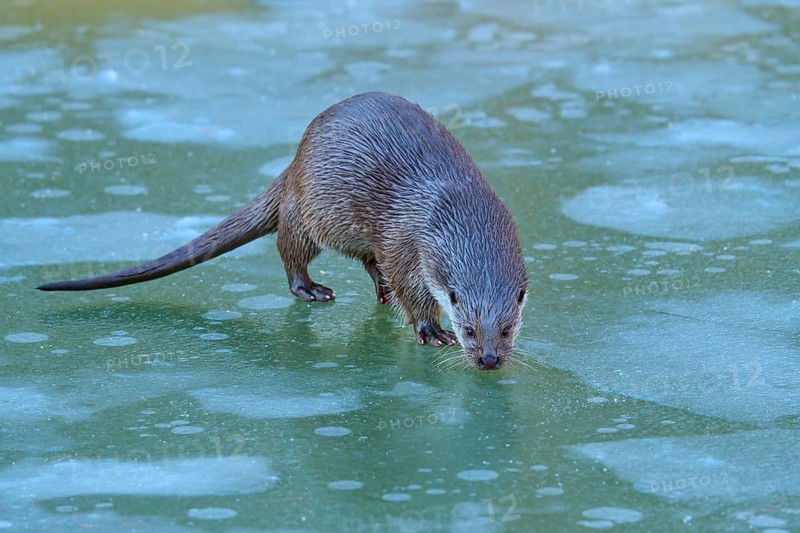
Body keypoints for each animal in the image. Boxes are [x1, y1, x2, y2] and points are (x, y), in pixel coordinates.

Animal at [38, 92, 529, 370]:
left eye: (506, 330)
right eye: (469, 330)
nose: (488, 360)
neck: (453, 209)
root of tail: (294, 162)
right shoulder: (407, 242)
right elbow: (411, 287)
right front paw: (429, 331)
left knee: (367, 260)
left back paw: (379, 289)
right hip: (310, 212)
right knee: (291, 250)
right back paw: (312, 289)